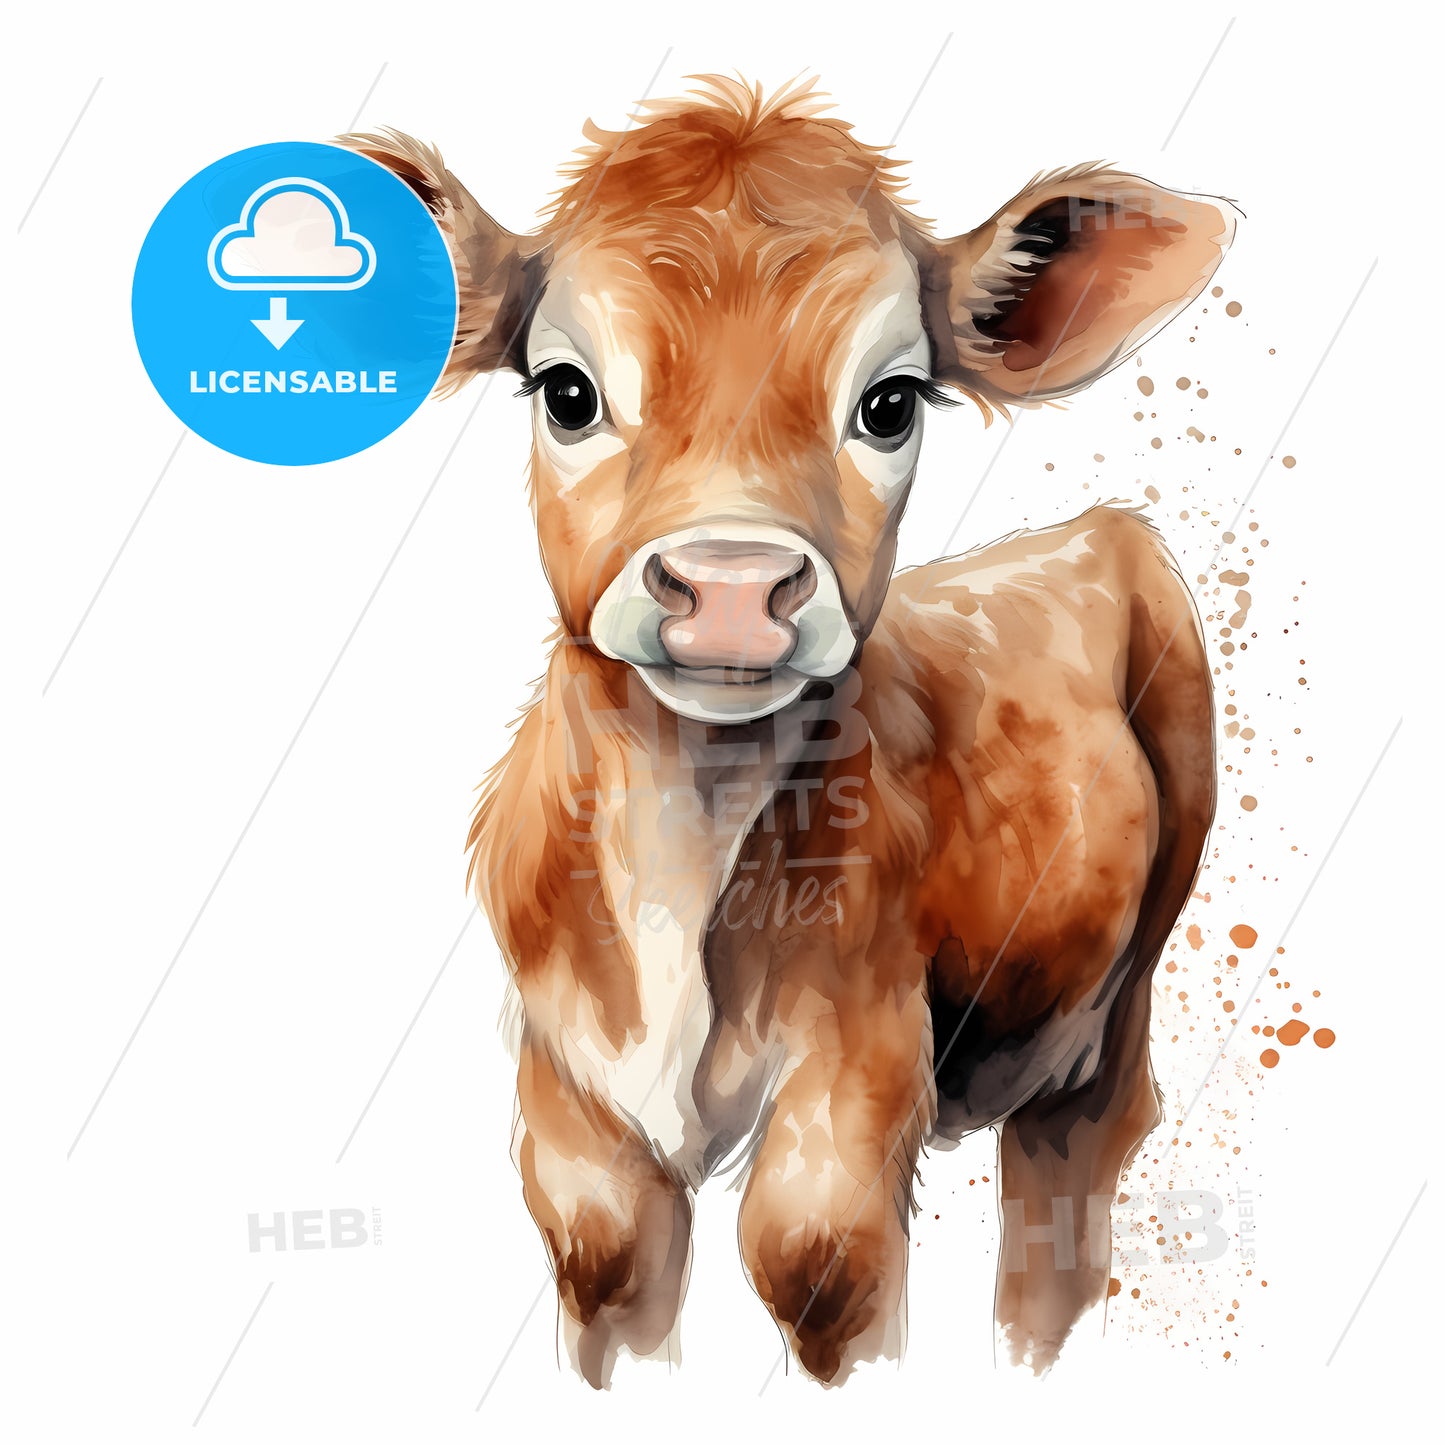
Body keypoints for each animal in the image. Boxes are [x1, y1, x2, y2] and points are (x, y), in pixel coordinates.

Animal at [342, 73, 1232, 1388]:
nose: (729, 584)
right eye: (567, 392)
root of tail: (1089, 528)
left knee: (1072, 1166)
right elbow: (608, 1282)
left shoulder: (852, 1096)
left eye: (889, 401)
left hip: (1114, 1000)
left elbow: (808, 1264)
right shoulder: (571, 1121)